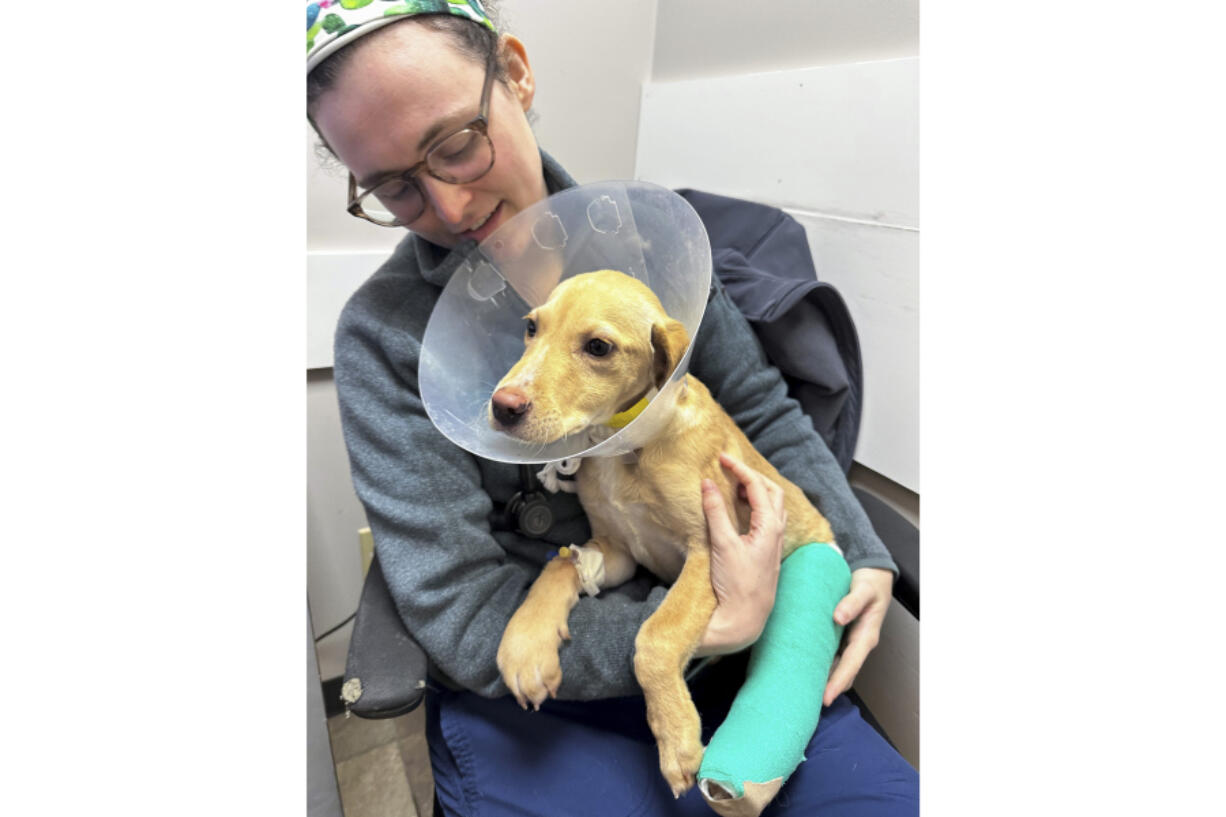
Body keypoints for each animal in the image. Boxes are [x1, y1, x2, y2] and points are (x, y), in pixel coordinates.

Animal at [485, 267, 833, 794]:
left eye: (598, 347)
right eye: (530, 327)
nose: (502, 406)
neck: (626, 446)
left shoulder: (709, 550)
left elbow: (654, 636)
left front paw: (676, 737)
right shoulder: (616, 550)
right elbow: (559, 569)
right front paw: (526, 643)